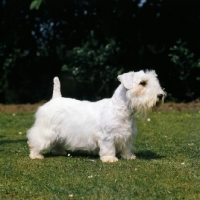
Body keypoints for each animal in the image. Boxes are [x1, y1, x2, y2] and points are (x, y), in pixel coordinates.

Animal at [27, 70, 166, 162]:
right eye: (142, 83)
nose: (160, 96)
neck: (122, 110)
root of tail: (55, 98)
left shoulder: (127, 135)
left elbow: (126, 147)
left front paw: (129, 156)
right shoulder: (107, 136)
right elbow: (109, 148)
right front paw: (110, 159)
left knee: (56, 143)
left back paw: (60, 152)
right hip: (46, 130)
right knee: (37, 140)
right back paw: (36, 155)